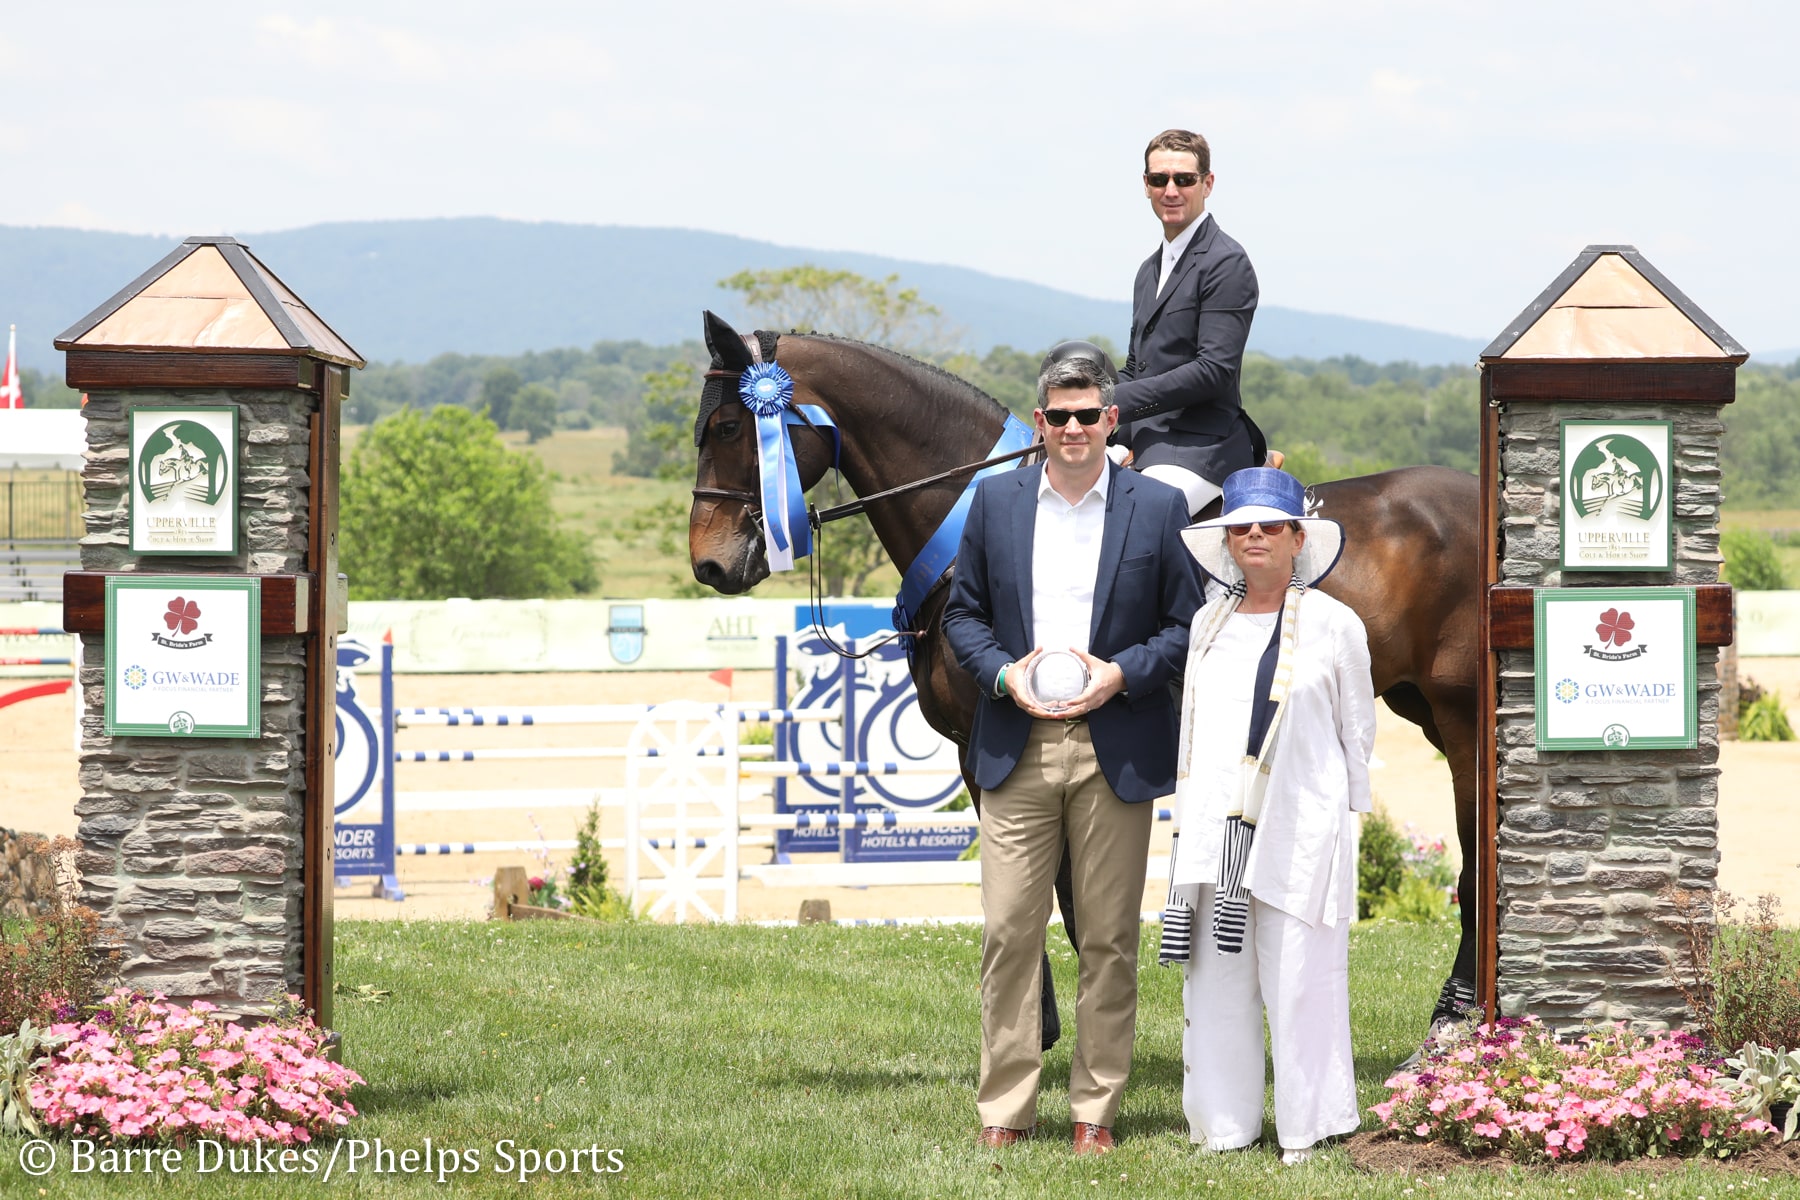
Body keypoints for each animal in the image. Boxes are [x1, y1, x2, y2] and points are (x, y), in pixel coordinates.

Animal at [680, 309, 1483, 1036]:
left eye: (730, 429)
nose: (710, 565)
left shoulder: (995, 745)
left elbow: (1044, 892)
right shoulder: (999, 748)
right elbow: (1049, 891)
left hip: (1464, 716)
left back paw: (1456, 1017)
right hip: (1421, 709)